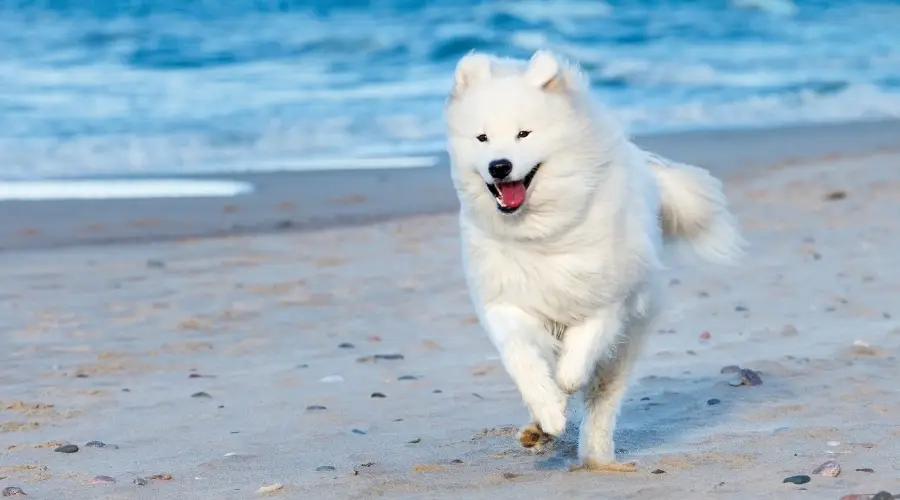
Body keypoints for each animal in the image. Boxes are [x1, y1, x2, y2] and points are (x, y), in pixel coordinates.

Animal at [442, 50, 744, 468]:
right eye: (482, 138)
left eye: (524, 134)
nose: (499, 166)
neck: (541, 235)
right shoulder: (506, 302)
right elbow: (524, 361)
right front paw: (549, 411)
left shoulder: (607, 300)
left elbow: (578, 358)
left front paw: (567, 382)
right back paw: (538, 431)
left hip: (626, 342)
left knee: (602, 401)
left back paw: (598, 457)